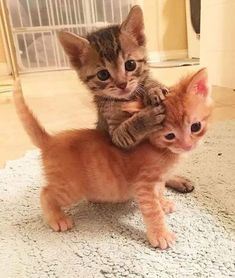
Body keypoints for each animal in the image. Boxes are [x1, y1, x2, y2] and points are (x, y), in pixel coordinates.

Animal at [14, 68, 213, 249]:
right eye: (170, 136)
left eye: (195, 127)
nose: (188, 145)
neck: (163, 151)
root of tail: (50, 140)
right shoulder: (143, 184)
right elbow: (152, 210)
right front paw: (160, 234)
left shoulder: (158, 180)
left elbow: (160, 191)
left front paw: (163, 202)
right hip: (71, 188)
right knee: (46, 193)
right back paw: (56, 217)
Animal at [59, 5, 168, 150]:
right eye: (103, 75)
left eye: (130, 65)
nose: (122, 84)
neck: (128, 98)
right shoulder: (115, 137)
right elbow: (126, 131)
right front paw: (147, 118)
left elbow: (146, 82)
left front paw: (154, 88)